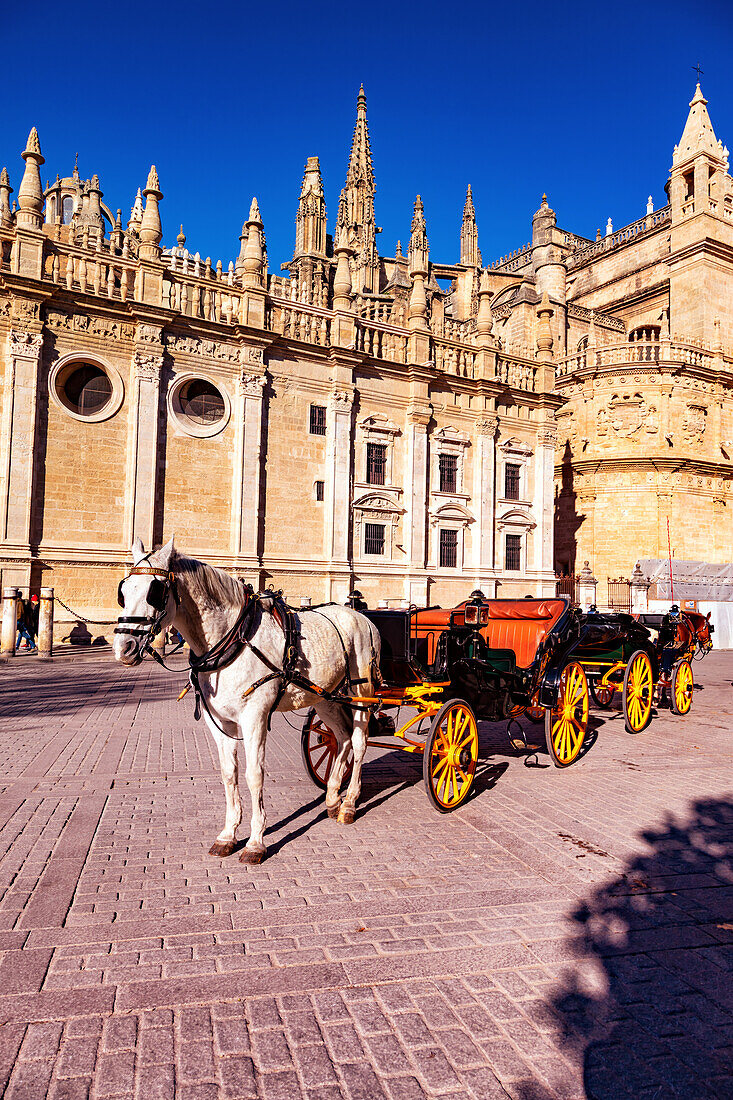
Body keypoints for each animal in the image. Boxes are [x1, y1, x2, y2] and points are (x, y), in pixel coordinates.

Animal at [112, 536, 383, 862]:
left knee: (359, 740)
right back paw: (332, 798)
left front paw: (256, 842)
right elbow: (229, 773)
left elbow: (255, 775)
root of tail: (360, 616)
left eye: (155, 592)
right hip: (324, 696)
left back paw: (349, 803)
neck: (233, 637)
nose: (123, 647)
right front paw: (228, 835)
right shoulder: (219, 722)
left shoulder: (254, 717)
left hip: (361, 691)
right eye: (123, 591)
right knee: (341, 738)